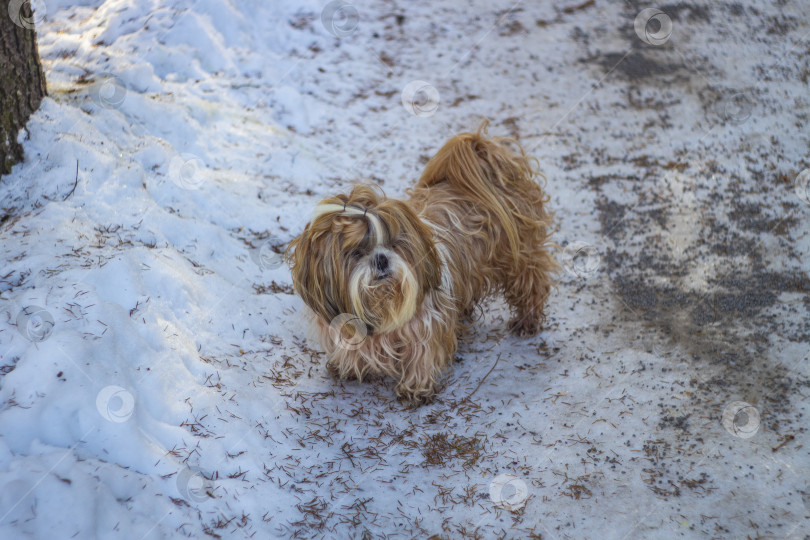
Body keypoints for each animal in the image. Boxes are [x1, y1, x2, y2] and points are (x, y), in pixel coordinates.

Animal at [284, 121, 556, 400]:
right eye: (357, 252)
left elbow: (424, 354)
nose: (381, 260)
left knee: (532, 283)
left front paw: (416, 387)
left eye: (394, 244)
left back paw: (527, 320)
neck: (382, 305)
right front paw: (348, 366)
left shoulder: (427, 324)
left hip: (521, 256)